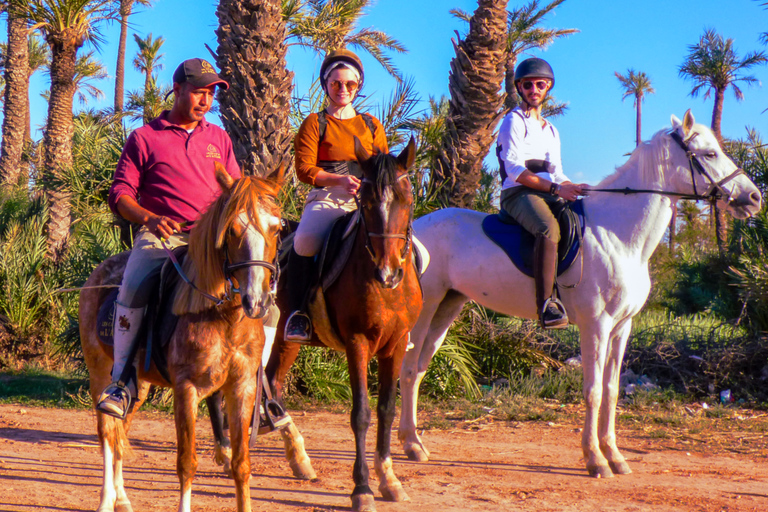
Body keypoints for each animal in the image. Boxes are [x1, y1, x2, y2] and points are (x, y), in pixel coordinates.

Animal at [79, 164, 284, 512]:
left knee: (121, 430)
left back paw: (122, 498)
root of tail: (96, 276)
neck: (223, 317)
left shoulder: (242, 387)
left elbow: (241, 464)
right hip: (100, 373)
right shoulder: (186, 389)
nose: (256, 301)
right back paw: (106, 499)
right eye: (232, 230)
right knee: (107, 430)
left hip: (138, 385)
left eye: (277, 228)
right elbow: (187, 463)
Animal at [264, 137, 420, 512]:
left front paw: (389, 480)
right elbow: (361, 413)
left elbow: (386, 410)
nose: (388, 273)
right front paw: (362, 488)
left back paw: (299, 459)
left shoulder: (396, 344)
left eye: (407, 199)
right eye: (366, 202)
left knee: (272, 382)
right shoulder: (357, 342)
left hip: (284, 339)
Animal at [400, 110, 760, 478]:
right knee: (409, 368)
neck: (618, 236)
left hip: (448, 306)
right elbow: (593, 391)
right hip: (426, 309)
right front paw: (595, 459)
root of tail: (416, 228)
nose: (754, 198)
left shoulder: (622, 327)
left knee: (421, 368)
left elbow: (612, 391)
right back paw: (410, 445)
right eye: (710, 154)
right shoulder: (596, 325)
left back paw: (414, 442)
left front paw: (615, 455)